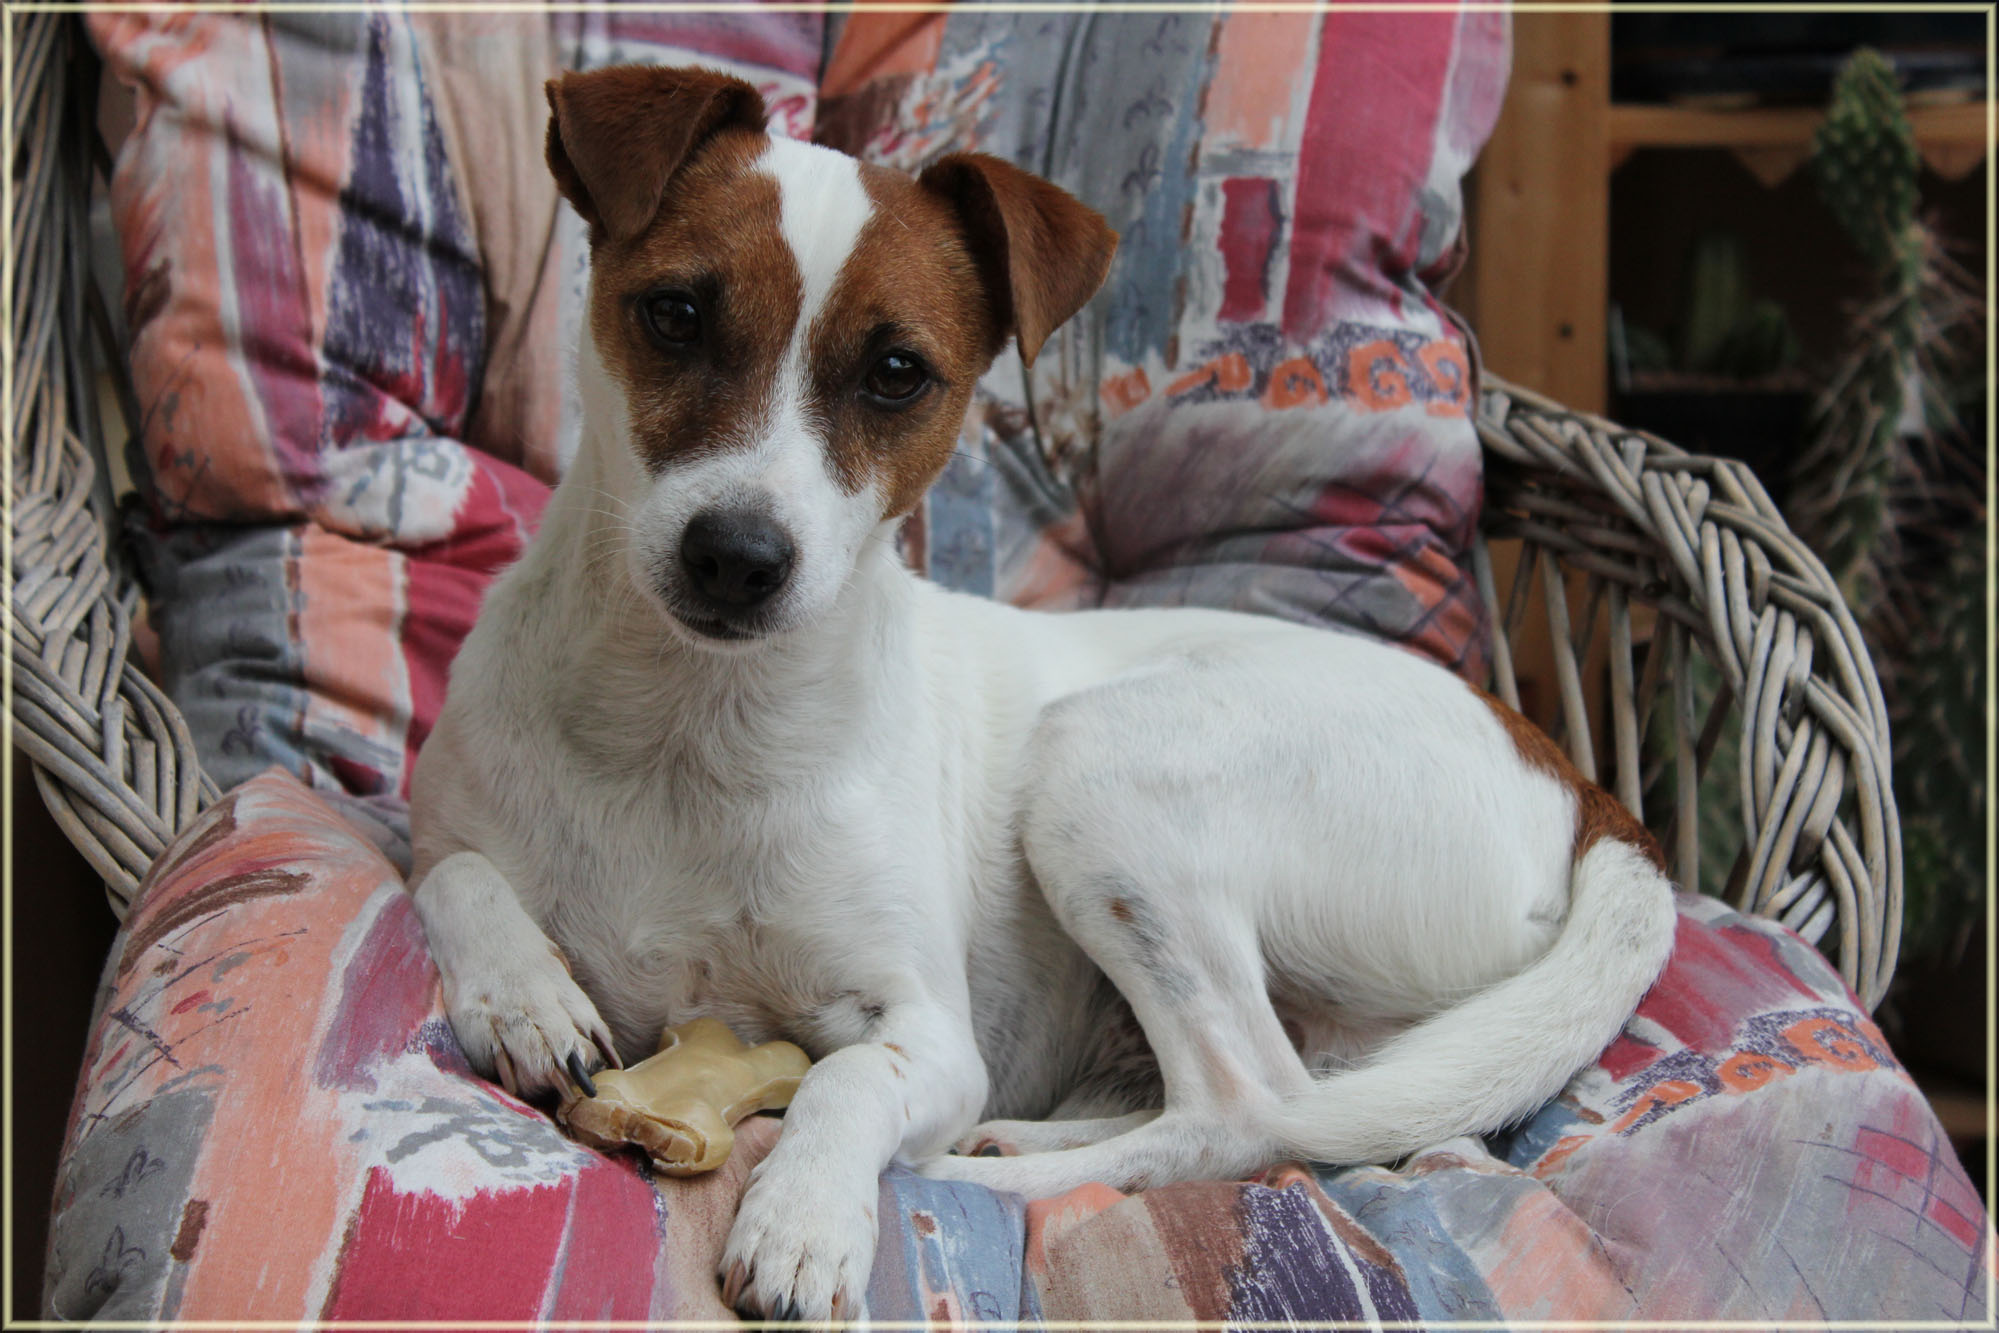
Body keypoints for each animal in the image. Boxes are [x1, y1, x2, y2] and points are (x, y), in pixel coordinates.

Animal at [408, 63, 1678, 1324]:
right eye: (674, 313)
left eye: (896, 373)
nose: (735, 556)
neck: (688, 725)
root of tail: (1580, 786)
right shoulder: (435, 829)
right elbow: (456, 875)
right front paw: (525, 994)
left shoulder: (929, 1032)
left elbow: (846, 1078)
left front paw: (804, 1214)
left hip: (1099, 771)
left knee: (1246, 1106)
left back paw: (989, 1168)